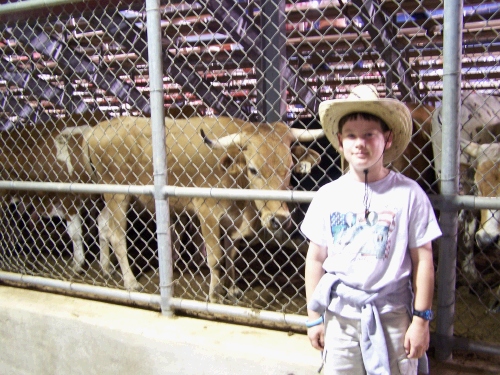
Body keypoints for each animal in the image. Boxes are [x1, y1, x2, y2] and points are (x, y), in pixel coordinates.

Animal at [82, 116, 324, 304]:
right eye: (253, 169)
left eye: (289, 167)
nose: (279, 219)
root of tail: (96, 128)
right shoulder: (208, 213)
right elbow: (216, 258)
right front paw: (215, 296)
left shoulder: (232, 221)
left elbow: (231, 254)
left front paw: (232, 288)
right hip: (117, 196)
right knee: (117, 236)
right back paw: (131, 281)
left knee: (103, 225)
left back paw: (106, 267)